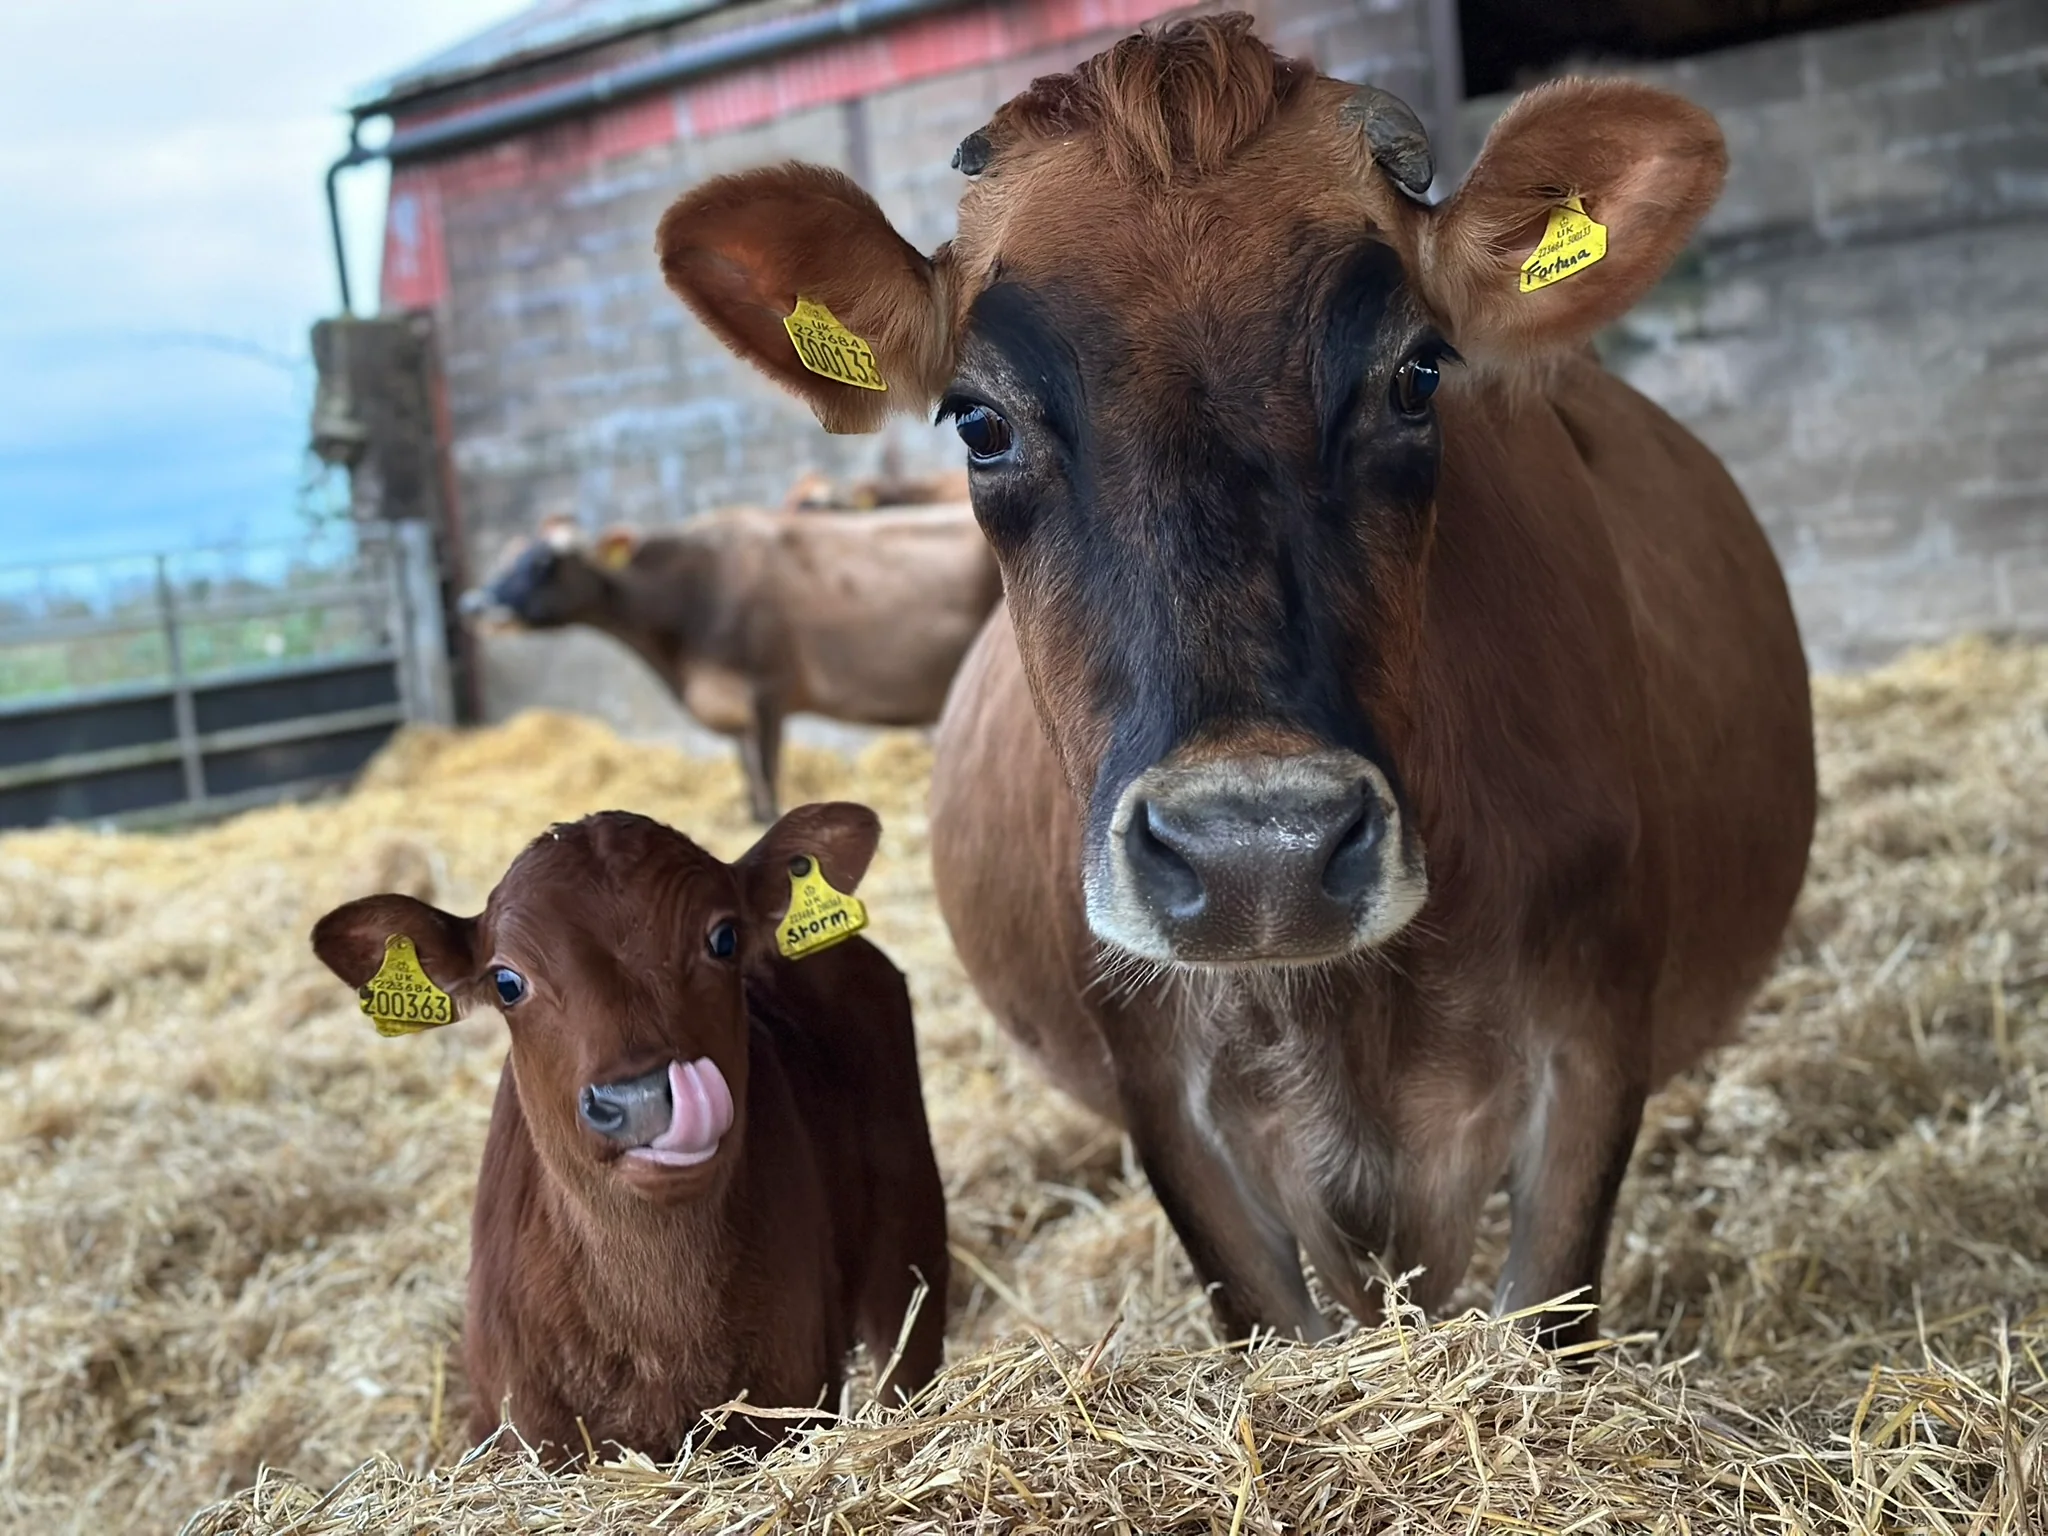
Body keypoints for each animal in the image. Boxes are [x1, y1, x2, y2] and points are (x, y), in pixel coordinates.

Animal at [459, 507, 1001, 822]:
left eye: (543, 563)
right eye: (509, 555)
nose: (473, 604)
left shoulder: (766, 692)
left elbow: (768, 777)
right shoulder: (732, 707)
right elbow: (746, 774)